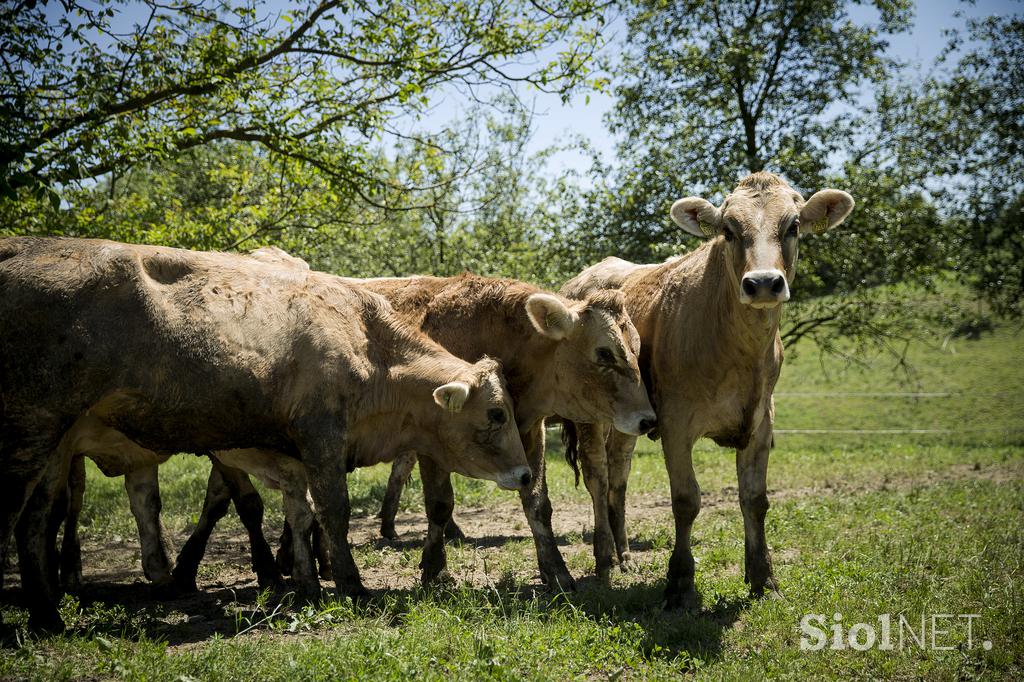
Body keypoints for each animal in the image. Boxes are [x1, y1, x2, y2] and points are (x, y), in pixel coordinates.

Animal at [0, 236, 528, 630]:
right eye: (497, 414)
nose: (526, 474)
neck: (367, 342)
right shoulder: (321, 439)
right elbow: (332, 512)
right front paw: (350, 585)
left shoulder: (292, 453)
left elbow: (301, 513)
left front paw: (308, 583)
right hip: (31, 431)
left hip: (56, 446)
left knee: (36, 523)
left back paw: (48, 615)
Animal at [565, 171, 851, 606]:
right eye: (729, 231)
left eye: (793, 227)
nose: (763, 283)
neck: (741, 352)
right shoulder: (676, 423)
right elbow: (686, 500)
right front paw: (679, 582)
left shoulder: (762, 421)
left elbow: (755, 500)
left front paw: (763, 577)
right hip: (589, 413)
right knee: (597, 473)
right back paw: (604, 559)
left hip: (627, 416)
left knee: (619, 472)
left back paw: (625, 554)